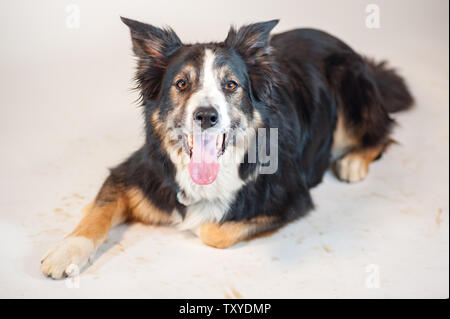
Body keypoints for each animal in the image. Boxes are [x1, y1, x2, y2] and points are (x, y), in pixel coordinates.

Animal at [41, 17, 412, 278]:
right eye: (182, 83)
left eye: (231, 85)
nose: (207, 115)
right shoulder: (132, 172)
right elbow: (98, 211)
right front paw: (65, 252)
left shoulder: (291, 197)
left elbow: (211, 231)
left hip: (350, 87)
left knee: (383, 130)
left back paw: (353, 162)